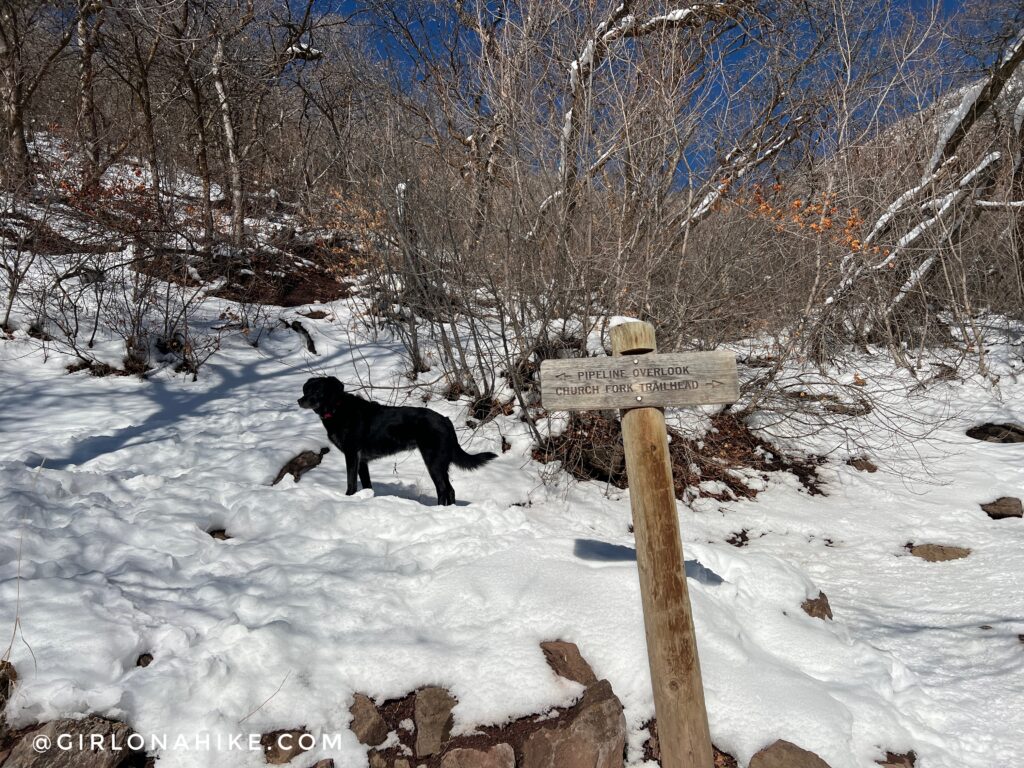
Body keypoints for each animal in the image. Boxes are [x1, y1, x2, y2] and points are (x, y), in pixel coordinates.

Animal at [296, 376, 495, 505]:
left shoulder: (352, 454)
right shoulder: (362, 460)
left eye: (318, 391)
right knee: (450, 490)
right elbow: (367, 485)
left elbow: (350, 483)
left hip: (433, 461)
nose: (299, 400)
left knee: (443, 489)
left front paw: (348, 498)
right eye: (306, 389)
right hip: (440, 462)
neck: (337, 409)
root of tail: (446, 420)